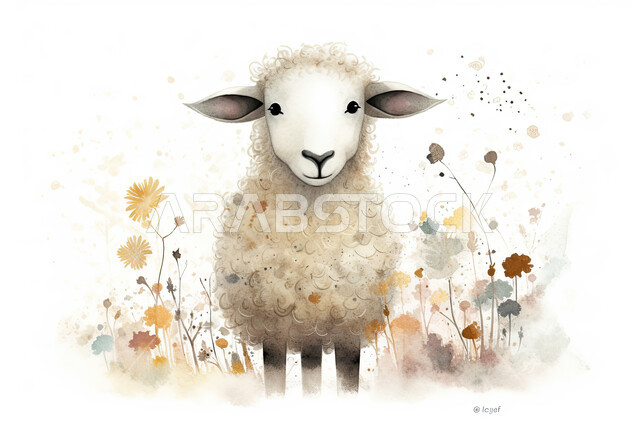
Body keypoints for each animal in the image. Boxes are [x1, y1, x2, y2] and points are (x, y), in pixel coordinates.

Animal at [186, 43, 442, 396]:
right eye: (274, 108)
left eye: (353, 106)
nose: (318, 158)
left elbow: (345, 381)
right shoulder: (274, 324)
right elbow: (277, 383)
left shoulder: (347, 321)